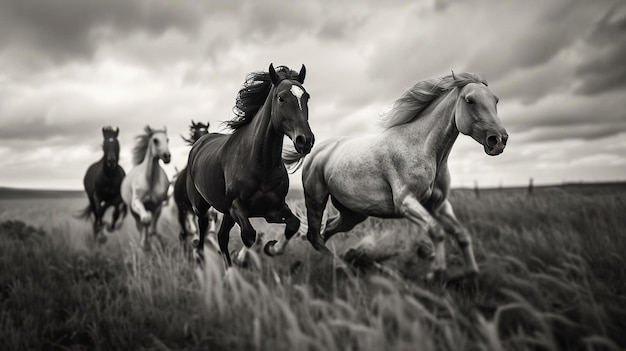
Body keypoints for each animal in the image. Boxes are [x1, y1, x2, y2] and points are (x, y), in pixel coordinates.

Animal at [184, 63, 312, 266]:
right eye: (281, 98)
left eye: (306, 97)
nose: (305, 141)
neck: (261, 163)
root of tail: (199, 143)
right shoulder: (237, 206)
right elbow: (249, 235)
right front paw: (243, 257)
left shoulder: (273, 209)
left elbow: (293, 224)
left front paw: (272, 248)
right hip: (201, 206)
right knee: (204, 229)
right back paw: (200, 257)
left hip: (227, 214)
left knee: (222, 237)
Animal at [282, 73, 508, 282]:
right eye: (469, 100)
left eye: (496, 100)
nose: (499, 140)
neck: (423, 148)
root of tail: (317, 151)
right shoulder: (406, 203)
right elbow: (436, 231)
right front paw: (436, 273)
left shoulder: (439, 205)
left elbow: (462, 235)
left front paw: (472, 274)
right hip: (316, 199)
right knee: (314, 235)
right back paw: (344, 269)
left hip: (353, 213)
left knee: (326, 230)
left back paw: (338, 265)